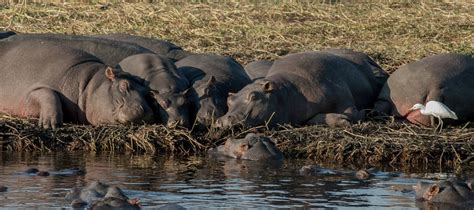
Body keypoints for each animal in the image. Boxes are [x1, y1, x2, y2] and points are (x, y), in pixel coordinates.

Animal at [0, 39, 154, 128]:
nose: (146, 111)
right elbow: (48, 93)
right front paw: (50, 124)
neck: (87, 84)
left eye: (147, 92)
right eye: (123, 85)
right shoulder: (30, 90)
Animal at [217, 49, 386, 128]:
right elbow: (315, 119)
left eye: (253, 96)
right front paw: (342, 120)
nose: (224, 119)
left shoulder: (341, 96)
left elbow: (352, 112)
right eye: (229, 99)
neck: (285, 91)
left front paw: (360, 114)